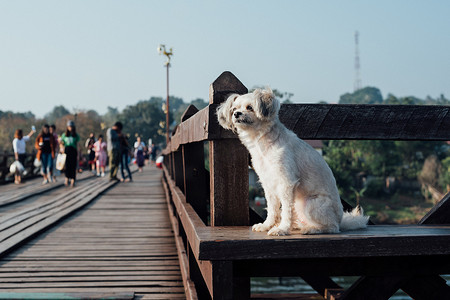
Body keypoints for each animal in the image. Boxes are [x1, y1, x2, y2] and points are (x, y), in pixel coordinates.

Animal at [216, 88, 368, 236]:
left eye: (249, 107)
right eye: (234, 109)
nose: (237, 114)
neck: (262, 142)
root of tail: (340, 219)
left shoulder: (287, 183)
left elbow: (286, 211)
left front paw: (282, 229)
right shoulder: (268, 183)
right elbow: (272, 208)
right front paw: (267, 225)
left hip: (309, 204)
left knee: (332, 227)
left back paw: (310, 229)